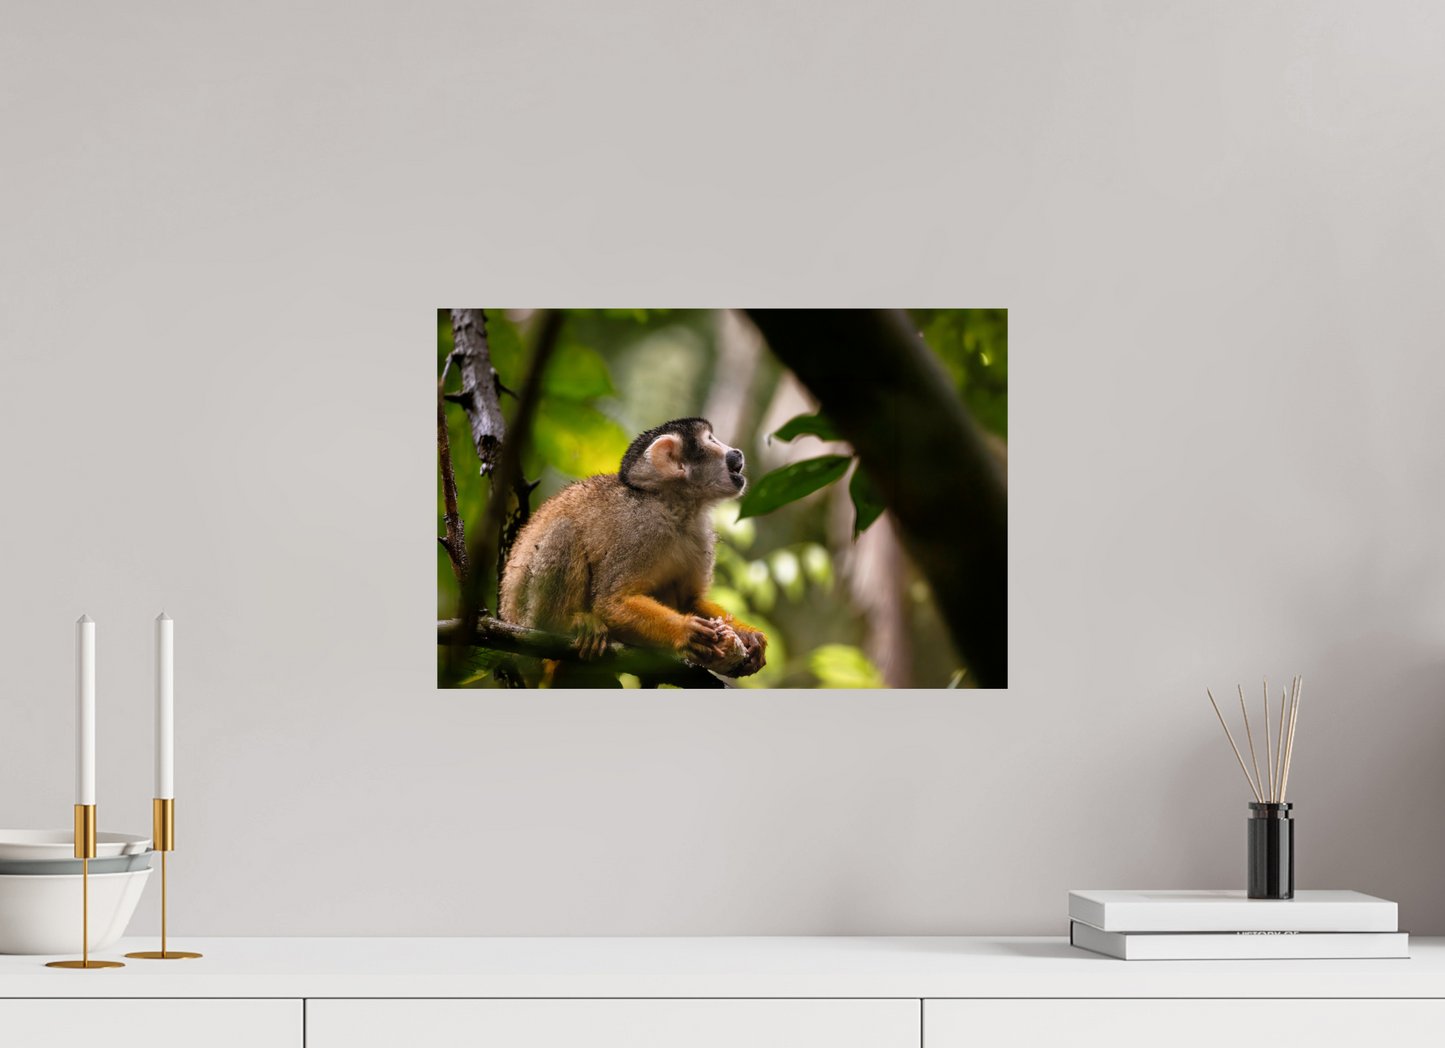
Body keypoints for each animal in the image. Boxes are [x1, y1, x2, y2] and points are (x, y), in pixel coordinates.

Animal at [499, 417, 767, 680]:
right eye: (711, 440)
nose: (737, 452)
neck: (674, 508)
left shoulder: (701, 534)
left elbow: (689, 600)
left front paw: (746, 635)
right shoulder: (641, 530)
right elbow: (611, 602)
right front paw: (686, 632)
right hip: (528, 620)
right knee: (563, 531)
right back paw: (565, 635)